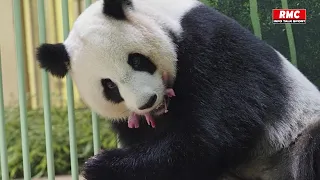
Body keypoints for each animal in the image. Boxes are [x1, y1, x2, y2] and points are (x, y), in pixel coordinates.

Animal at [36, 0, 320, 180]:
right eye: (109, 86)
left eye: (136, 60)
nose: (147, 101)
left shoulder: (214, 48)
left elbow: (212, 138)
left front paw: (100, 165)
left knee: (310, 146)